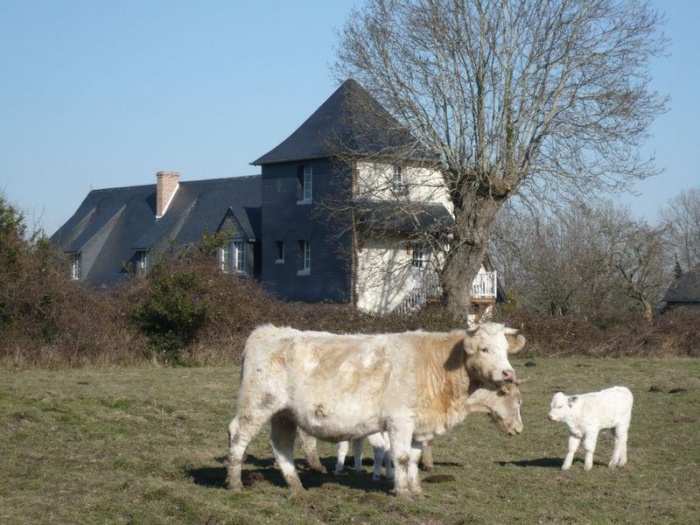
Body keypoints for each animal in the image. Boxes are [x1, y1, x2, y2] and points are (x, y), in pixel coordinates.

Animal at [226, 322, 524, 498]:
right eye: (484, 349)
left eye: (506, 350)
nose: (508, 373)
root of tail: (267, 330)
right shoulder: (400, 420)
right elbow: (401, 457)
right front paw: (402, 493)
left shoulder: (419, 425)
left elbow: (414, 459)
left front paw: (416, 490)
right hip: (258, 402)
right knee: (238, 435)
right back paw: (235, 482)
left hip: (284, 413)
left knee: (282, 445)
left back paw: (296, 485)